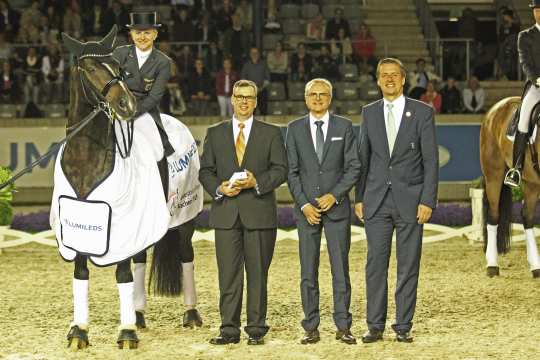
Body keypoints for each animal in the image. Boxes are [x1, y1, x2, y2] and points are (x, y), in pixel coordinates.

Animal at [58, 26, 181, 350]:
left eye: (117, 67)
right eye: (90, 68)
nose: (127, 105)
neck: (87, 158)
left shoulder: (123, 222)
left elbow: (122, 273)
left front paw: (126, 333)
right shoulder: (81, 224)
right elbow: (81, 272)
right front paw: (79, 331)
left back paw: (189, 316)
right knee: (140, 259)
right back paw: (137, 315)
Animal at [480, 96, 540, 278]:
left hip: (532, 183)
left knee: (527, 217)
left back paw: (535, 266)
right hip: (494, 174)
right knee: (493, 216)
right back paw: (492, 265)